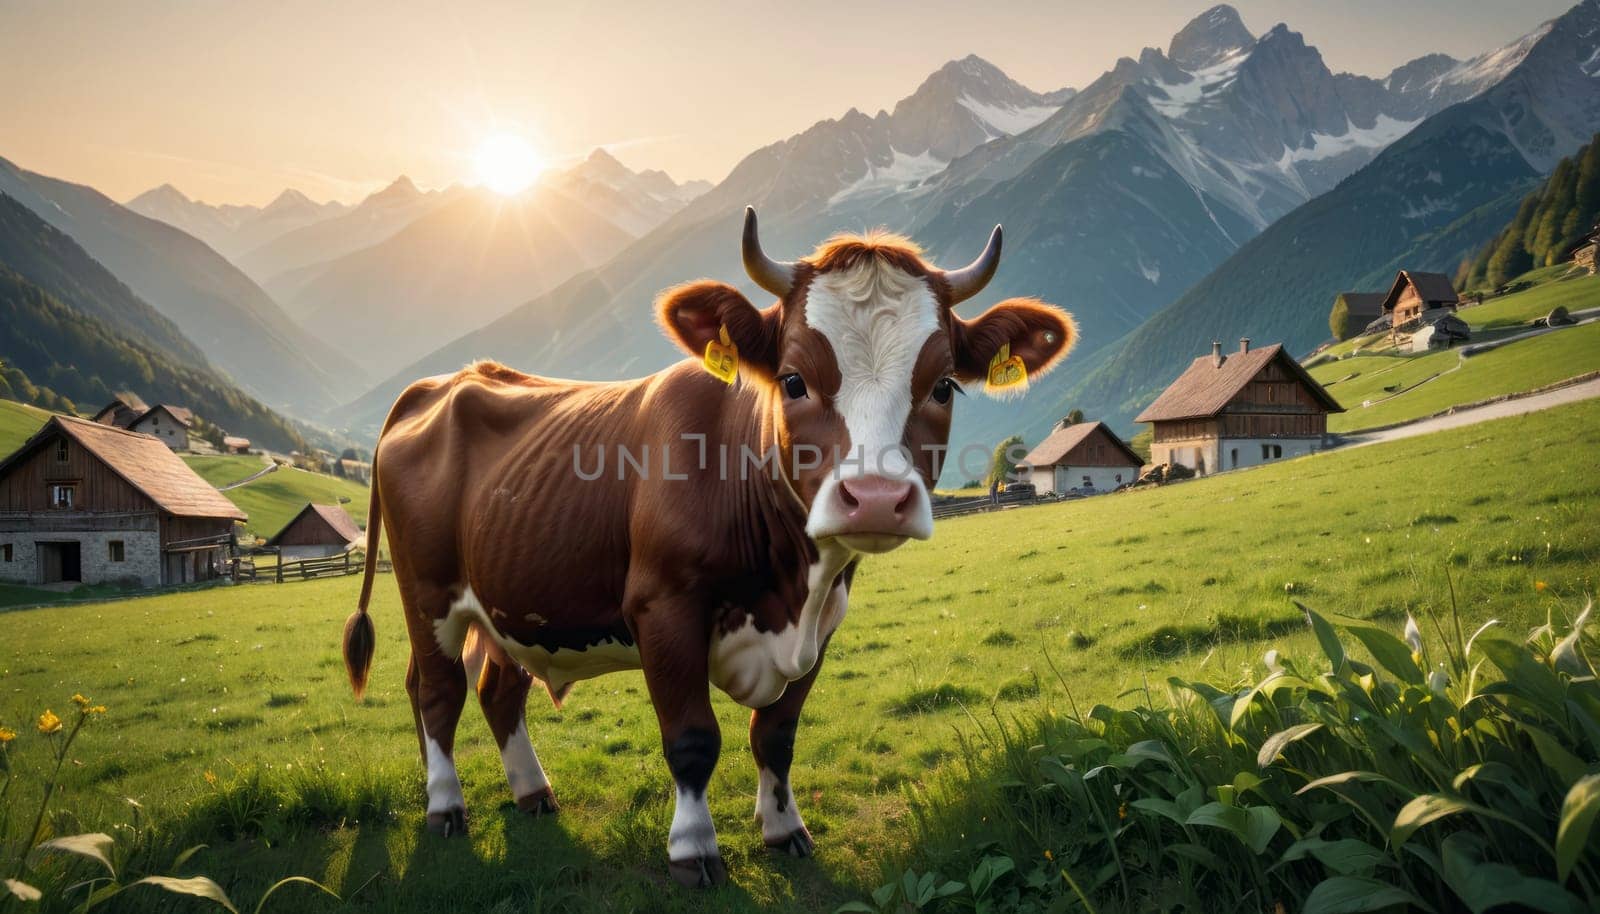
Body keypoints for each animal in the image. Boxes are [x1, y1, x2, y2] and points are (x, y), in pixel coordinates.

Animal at [340, 208, 1075, 889]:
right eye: (793, 379)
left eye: (944, 385)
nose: (873, 497)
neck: (789, 586)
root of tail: (444, 383)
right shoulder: (663, 607)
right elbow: (693, 739)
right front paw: (693, 849)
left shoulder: (824, 623)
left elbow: (775, 734)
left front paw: (784, 828)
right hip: (427, 592)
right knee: (436, 690)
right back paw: (444, 806)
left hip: (510, 601)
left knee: (499, 689)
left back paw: (533, 793)